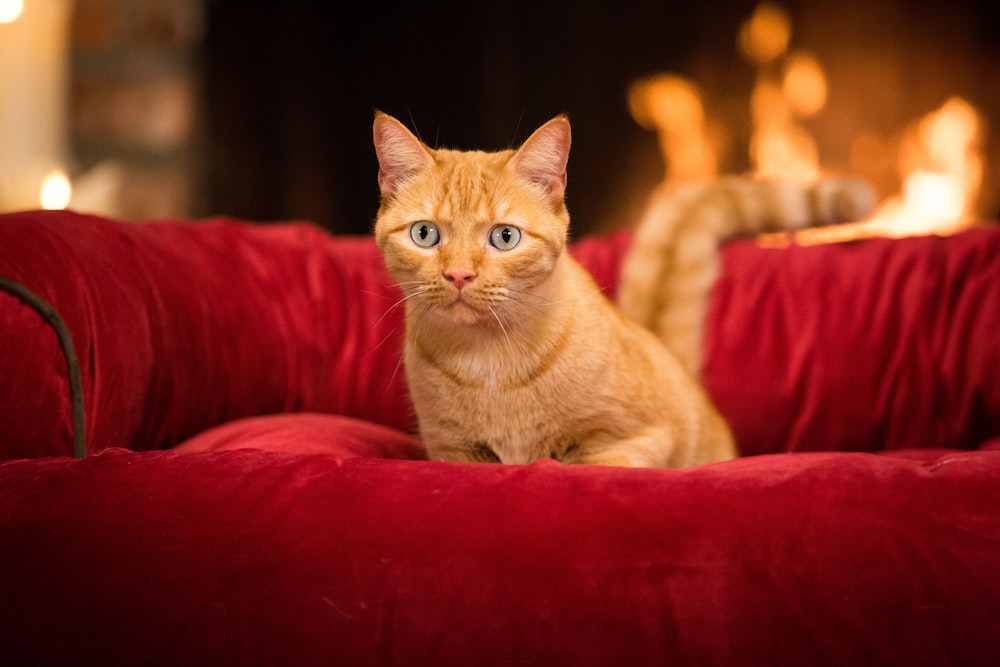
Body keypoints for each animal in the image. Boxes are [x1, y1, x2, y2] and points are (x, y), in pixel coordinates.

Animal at [372, 112, 872, 470]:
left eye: (504, 237)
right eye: (424, 234)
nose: (458, 275)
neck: (489, 358)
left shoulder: (635, 441)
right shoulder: (453, 452)